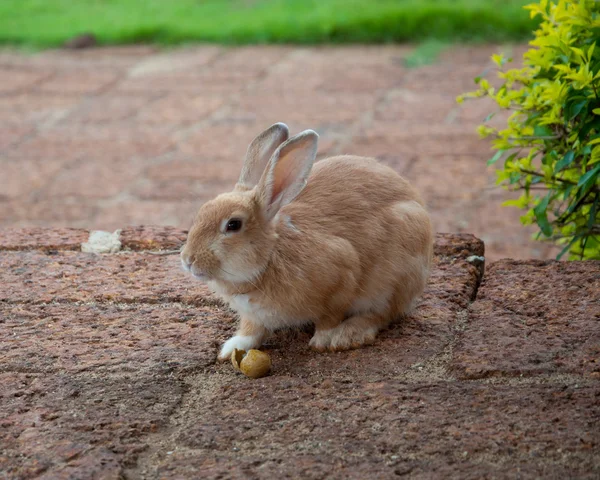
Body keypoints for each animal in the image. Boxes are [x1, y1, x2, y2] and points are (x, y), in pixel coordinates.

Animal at [179, 122, 432, 358]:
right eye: (202, 211)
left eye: (233, 225)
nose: (188, 260)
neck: (270, 256)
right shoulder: (253, 317)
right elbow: (252, 330)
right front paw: (231, 348)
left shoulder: (343, 273)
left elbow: (330, 315)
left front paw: (324, 339)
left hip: (397, 276)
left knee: (385, 313)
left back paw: (350, 333)